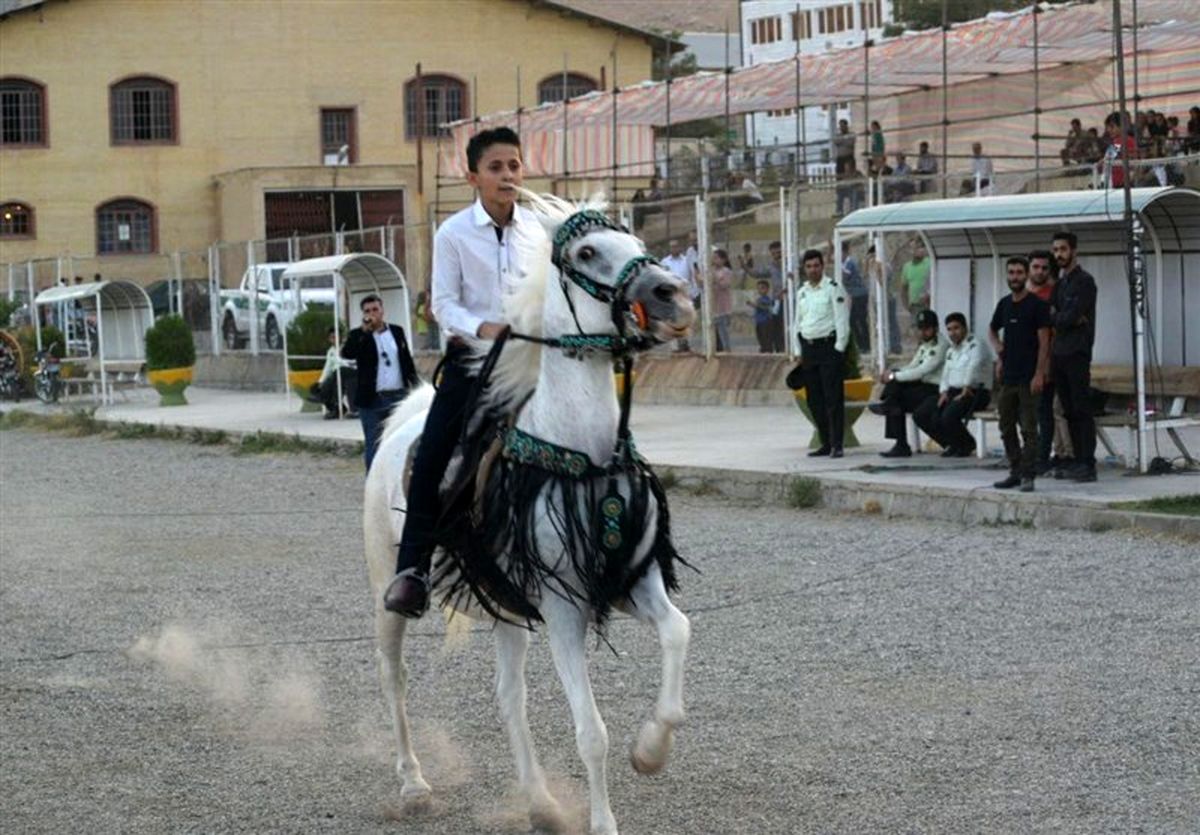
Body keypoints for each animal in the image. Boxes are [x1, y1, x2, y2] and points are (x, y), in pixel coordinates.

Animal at [360, 191, 696, 830]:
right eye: (587, 252)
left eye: (637, 244)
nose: (674, 294)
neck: (582, 455)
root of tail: (404, 419)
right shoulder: (564, 607)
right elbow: (591, 732)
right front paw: (604, 821)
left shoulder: (633, 580)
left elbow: (677, 633)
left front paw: (651, 750)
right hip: (390, 581)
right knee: (393, 676)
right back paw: (413, 782)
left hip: (505, 606)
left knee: (507, 697)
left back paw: (539, 802)